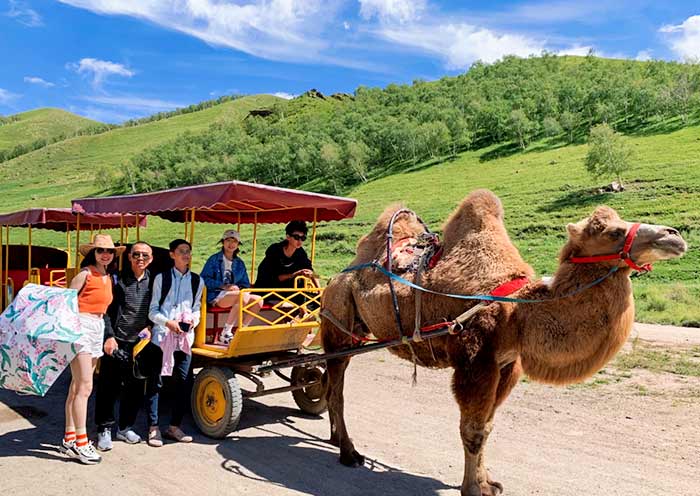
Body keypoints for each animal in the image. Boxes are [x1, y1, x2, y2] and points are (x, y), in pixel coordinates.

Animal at [320, 189, 687, 496]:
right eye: (612, 232)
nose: (675, 235)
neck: (518, 314)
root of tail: (336, 277)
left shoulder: (507, 364)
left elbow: (489, 426)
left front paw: (488, 482)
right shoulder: (474, 362)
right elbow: (473, 429)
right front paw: (472, 488)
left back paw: (336, 438)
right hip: (338, 326)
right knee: (336, 390)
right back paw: (349, 452)